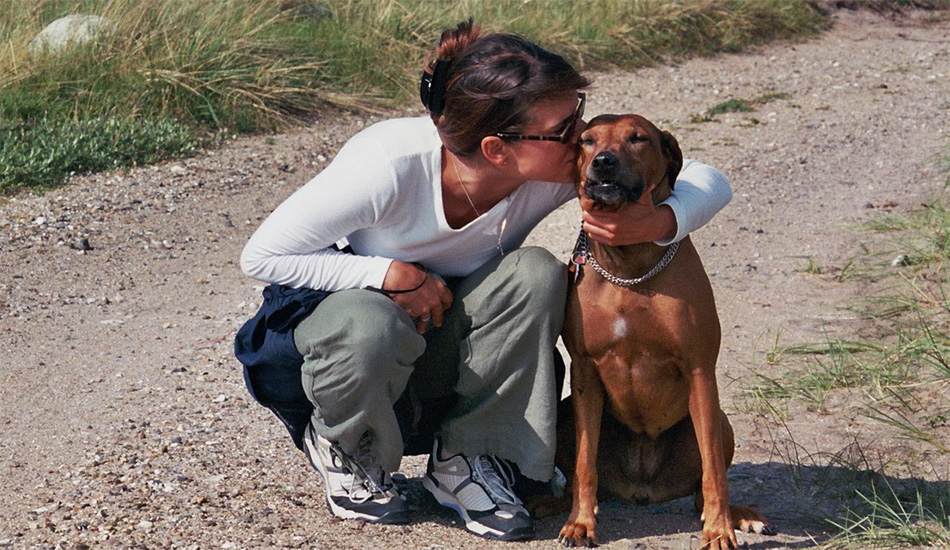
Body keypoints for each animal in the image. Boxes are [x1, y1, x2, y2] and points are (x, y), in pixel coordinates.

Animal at [556, 114, 772, 548]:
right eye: (587, 140)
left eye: (637, 138)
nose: (603, 162)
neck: (628, 269)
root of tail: (643, 489)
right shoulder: (584, 369)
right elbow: (585, 465)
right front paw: (581, 523)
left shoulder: (699, 369)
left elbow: (713, 473)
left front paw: (719, 529)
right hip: (566, 412)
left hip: (720, 421)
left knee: (702, 486)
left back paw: (736, 515)